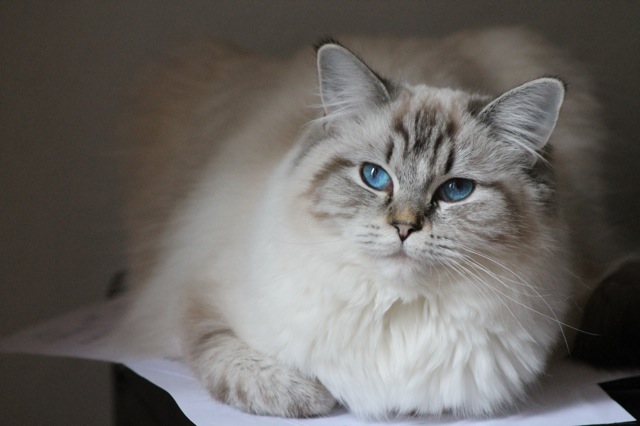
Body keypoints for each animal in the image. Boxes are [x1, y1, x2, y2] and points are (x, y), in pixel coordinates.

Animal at [112, 27, 624, 420]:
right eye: (375, 177)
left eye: (456, 190)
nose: (404, 227)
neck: (396, 309)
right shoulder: (193, 299)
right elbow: (229, 357)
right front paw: (306, 396)